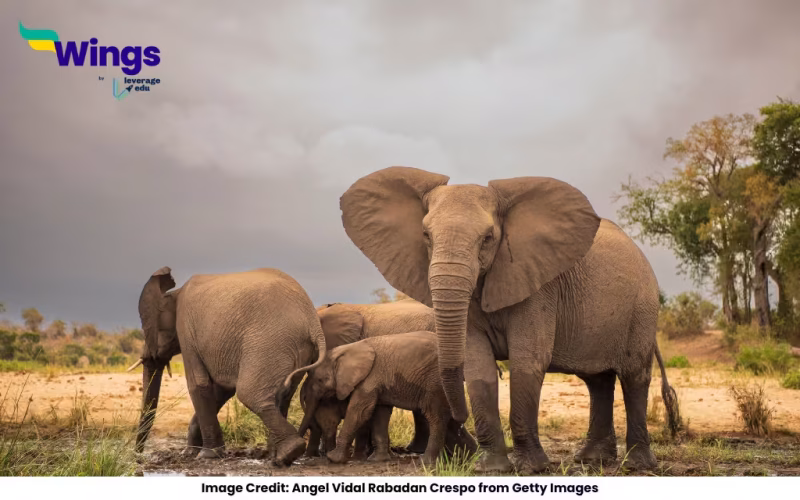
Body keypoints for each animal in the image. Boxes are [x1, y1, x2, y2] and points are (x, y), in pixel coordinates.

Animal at [128, 266, 326, 466]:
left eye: (147, 329)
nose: (138, 457)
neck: (174, 293)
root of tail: (313, 323)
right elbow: (221, 389)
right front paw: (191, 453)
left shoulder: (186, 330)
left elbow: (198, 384)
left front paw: (206, 455)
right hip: (295, 348)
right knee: (282, 395)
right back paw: (275, 457)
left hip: (269, 342)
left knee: (250, 394)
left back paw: (289, 453)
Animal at [338, 166, 679, 473]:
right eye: (426, 236)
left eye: (488, 238)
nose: (458, 421)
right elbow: (478, 367)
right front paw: (489, 468)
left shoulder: (539, 287)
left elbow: (528, 362)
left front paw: (531, 469)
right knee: (598, 380)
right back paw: (591, 460)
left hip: (642, 307)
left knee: (634, 376)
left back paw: (637, 465)